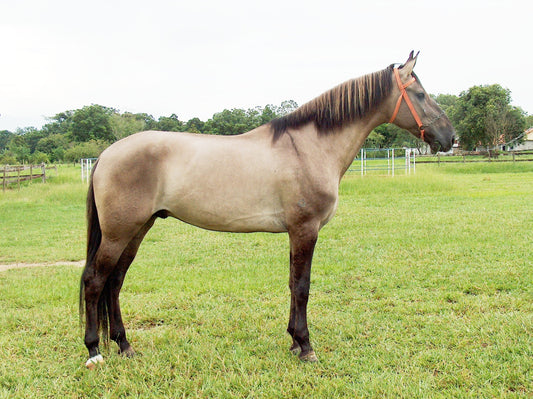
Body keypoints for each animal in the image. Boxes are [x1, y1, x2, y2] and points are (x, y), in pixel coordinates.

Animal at [79, 51, 454, 370]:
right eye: (420, 93)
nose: (449, 137)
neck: (310, 147)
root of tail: (107, 154)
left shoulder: (295, 232)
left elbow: (291, 283)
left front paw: (293, 342)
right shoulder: (305, 229)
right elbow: (302, 286)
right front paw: (306, 347)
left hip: (137, 229)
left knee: (115, 282)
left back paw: (124, 345)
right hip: (119, 233)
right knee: (95, 280)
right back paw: (94, 350)